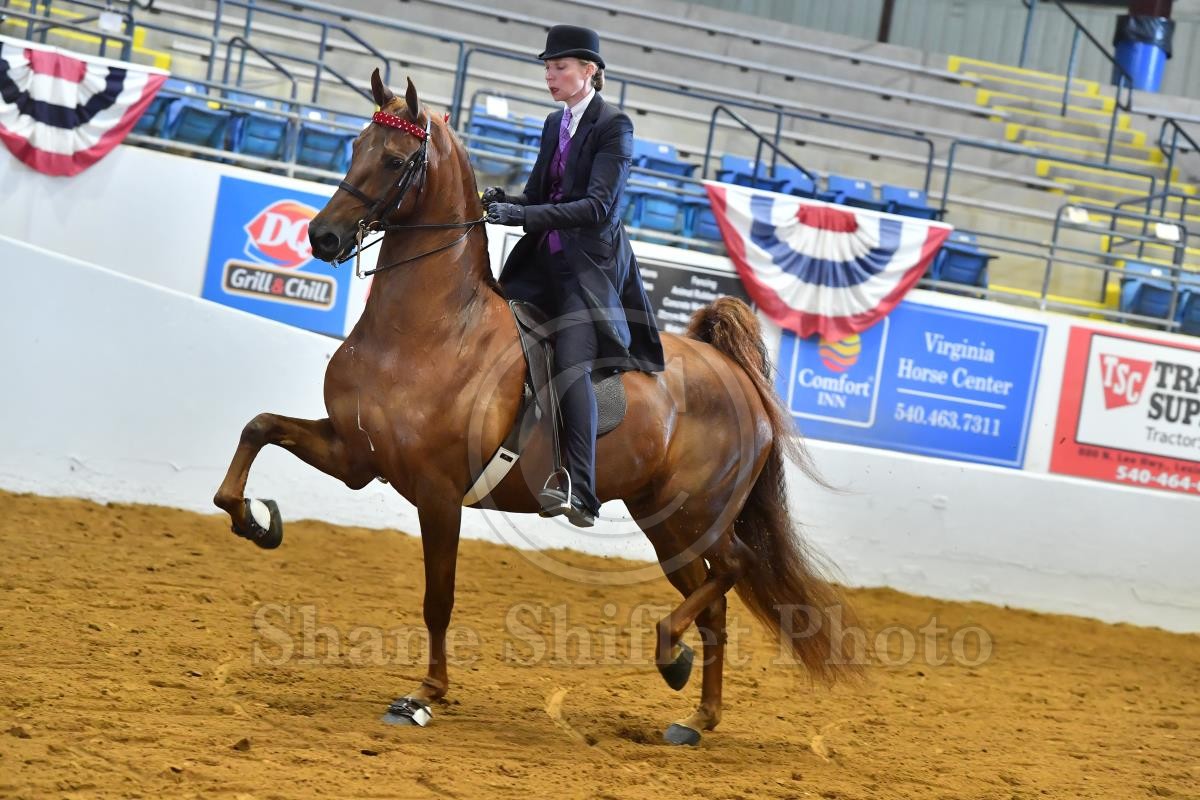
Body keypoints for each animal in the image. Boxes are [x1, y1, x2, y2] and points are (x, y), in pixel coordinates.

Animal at [213, 69, 861, 746]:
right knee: (716, 602)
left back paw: (670, 653)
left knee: (732, 568)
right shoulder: (356, 456)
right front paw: (255, 521)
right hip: (661, 519)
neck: (427, 329)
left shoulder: (438, 493)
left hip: (694, 514)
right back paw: (696, 715)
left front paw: (424, 695)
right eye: (354, 147)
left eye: (394, 160)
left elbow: (437, 598)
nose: (322, 237)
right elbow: (258, 428)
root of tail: (735, 375)